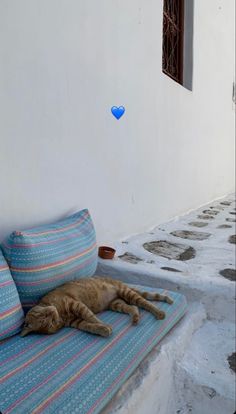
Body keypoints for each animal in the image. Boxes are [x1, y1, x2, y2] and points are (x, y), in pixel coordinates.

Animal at [21, 276, 173, 338]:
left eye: (44, 315)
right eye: (49, 322)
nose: (52, 312)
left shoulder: (75, 304)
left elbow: (91, 317)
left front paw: (104, 324)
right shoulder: (77, 322)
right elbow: (90, 326)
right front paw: (102, 329)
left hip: (127, 292)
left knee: (145, 303)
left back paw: (159, 313)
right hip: (116, 304)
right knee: (133, 308)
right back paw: (135, 318)